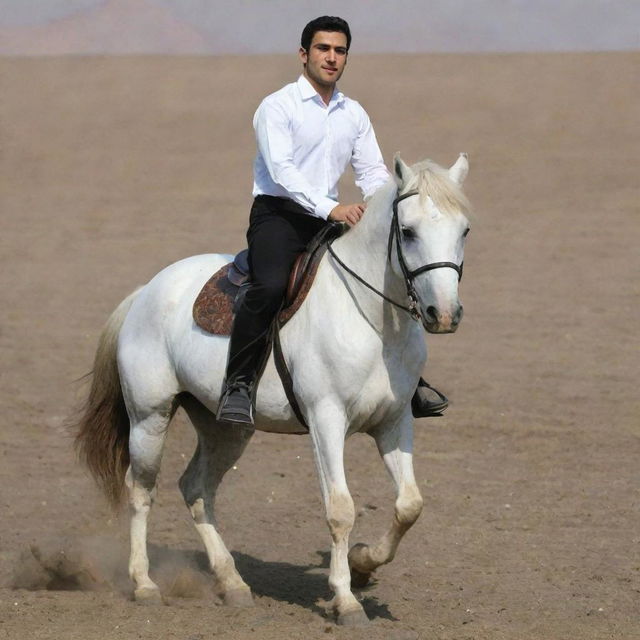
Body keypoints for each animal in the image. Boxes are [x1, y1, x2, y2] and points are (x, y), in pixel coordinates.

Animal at [75, 155, 470, 624]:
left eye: (464, 230)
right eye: (407, 231)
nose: (442, 314)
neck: (373, 324)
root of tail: (145, 292)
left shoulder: (394, 422)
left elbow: (409, 505)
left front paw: (362, 564)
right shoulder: (326, 421)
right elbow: (340, 509)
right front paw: (346, 598)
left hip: (226, 428)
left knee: (196, 488)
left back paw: (232, 582)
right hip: (149, 417)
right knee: (141, 490)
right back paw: (145, 584)